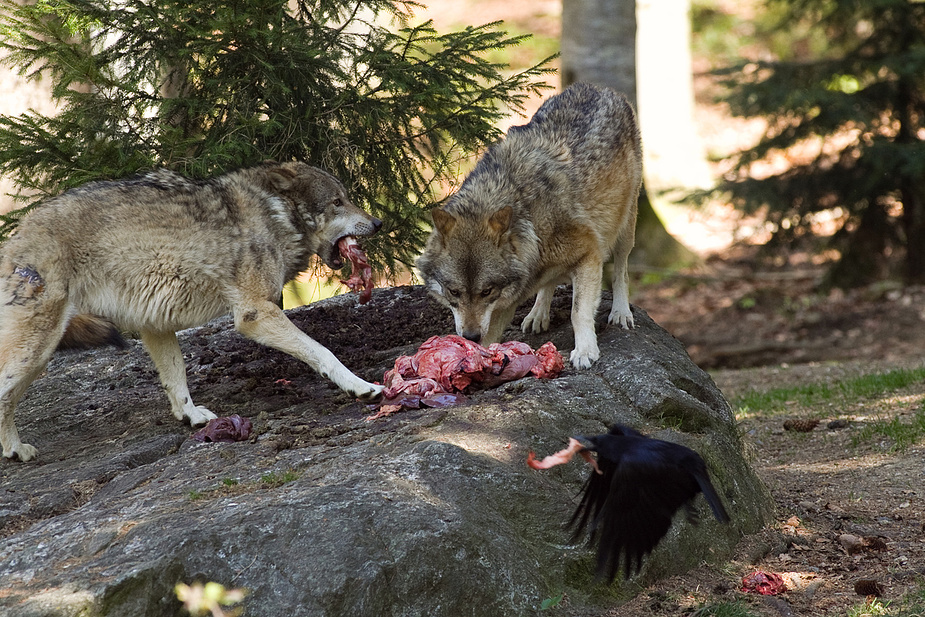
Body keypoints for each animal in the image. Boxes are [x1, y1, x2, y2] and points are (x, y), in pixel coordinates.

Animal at [0, 161, 382, 460]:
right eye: (337, 202)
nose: (378, 223)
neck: (274, 214)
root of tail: (16, 236)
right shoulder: (256, 314)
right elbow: (324, 352)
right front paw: (361, 386)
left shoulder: (154, 323)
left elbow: (176, 378)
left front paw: (193, 417)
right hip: (36, 350)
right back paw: (15, 450)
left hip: (41, 353)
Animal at [418, 83, 644, 368]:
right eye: (454, 292)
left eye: (486, 291)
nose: (470, 336)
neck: (528, 217)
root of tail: (598, 88)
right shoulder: (505, 302)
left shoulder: (589, 254)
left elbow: (578, 312)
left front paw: (584, 351)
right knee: (548, 283)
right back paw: (537, 315)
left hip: (625, 226)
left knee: (621, 271)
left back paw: (621, 312)